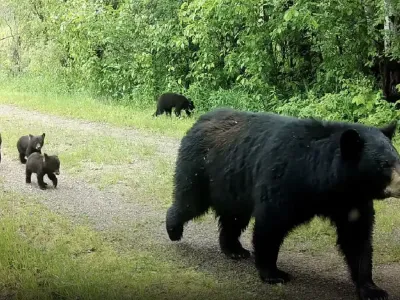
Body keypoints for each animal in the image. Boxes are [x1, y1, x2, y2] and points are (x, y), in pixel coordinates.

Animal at [166, 108, 400, 300]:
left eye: (397, 158)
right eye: (384, 164)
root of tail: (199, 120)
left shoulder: (352, 200)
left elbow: (356, 237)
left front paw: (372, 289)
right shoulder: (284, 180)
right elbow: (271, 223)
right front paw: (273, 273)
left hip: (232, 183)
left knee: (234, 217)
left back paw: (234, 249)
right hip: (202, 169)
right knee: (190, 202)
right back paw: (174, 229)